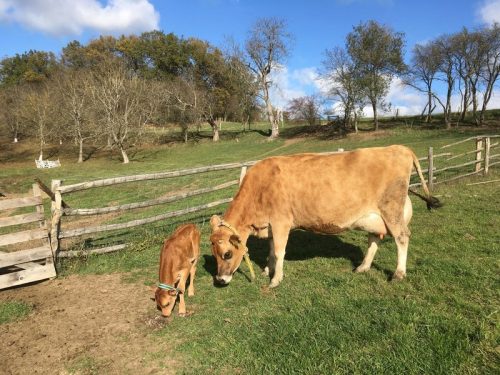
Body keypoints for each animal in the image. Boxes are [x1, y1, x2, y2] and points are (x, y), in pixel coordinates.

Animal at [209, 146, 440, 288]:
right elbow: (271, 250)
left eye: (227, 254)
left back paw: (399, 274)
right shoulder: (272, 226)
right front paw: (268, 269)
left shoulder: (281, 221)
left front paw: (276, 279)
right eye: (214, 254)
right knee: (374, 239)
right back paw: (363, 267)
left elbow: (279, 251)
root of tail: (399, 148)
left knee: (402, 237)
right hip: (374, 216)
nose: (220, 279)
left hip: (391, 209)